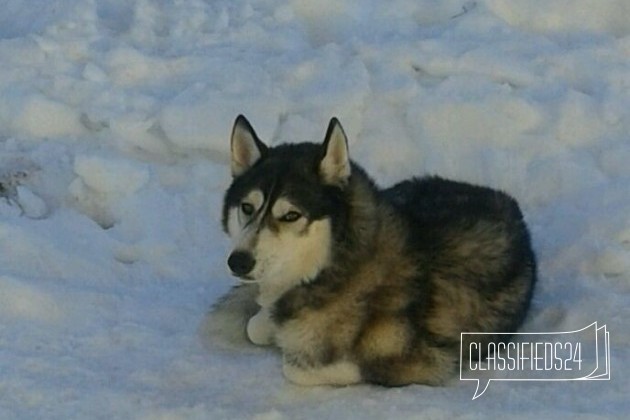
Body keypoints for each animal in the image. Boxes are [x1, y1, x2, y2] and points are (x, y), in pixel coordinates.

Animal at [216, 115, 540, 388]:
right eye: (247, 208)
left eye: (291, 215)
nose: (238, 262)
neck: (335, 266)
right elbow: (255, 327)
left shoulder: (426, 362)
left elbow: (299, 368)